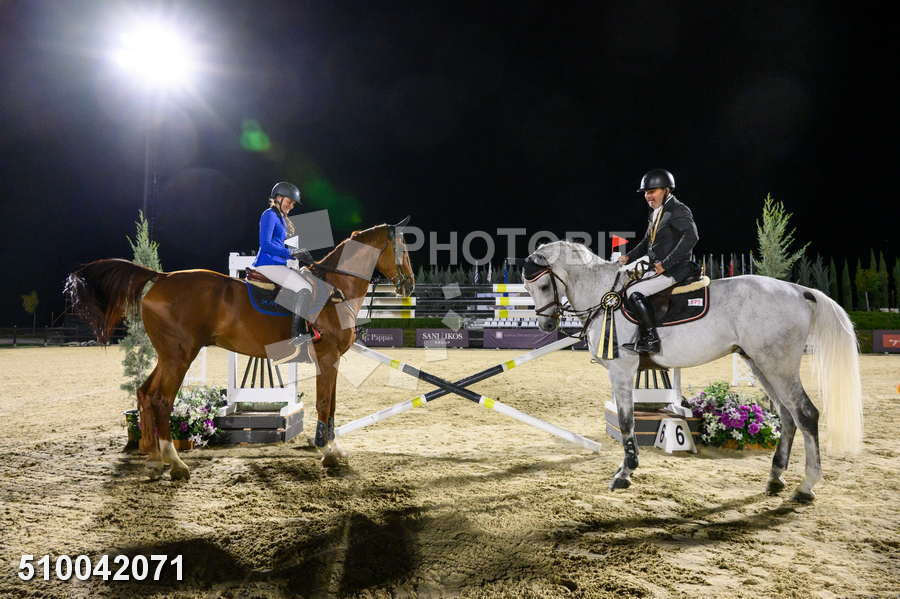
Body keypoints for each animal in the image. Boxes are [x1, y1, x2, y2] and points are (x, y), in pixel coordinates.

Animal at [65, 219, 414, 480]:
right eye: (403, 249)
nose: (409, 284)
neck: (335, 289)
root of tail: (161, 278)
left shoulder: (332, 361)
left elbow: (332, 405)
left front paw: (335, 450)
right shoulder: (327, 358)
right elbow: (325, 404)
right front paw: (328, 454)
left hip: (169, 356)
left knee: (145, 393)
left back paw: (154, 458)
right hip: (180, 355)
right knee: (162, 399)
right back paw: (175, 463)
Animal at [522, 241, 863, 502]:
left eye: (543, 285)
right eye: (529, 287)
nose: (547, 325)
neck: (605, 296)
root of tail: (799, 290)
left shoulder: (621, 369)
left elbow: (626, 421)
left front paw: (625, 473)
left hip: (778, 365)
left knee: (805, 414)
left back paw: (806, 486)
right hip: (759, 363)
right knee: (787, 415)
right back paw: (775, 478)